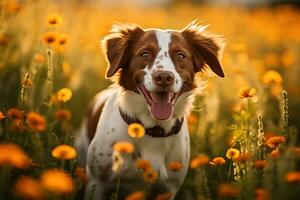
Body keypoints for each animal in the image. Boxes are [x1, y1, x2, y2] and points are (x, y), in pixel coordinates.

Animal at [75, 21, 225, 200]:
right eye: (144, 53)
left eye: (181, 55)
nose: (164, 77)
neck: (152, 129)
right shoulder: (98, 183)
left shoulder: (168, 189)